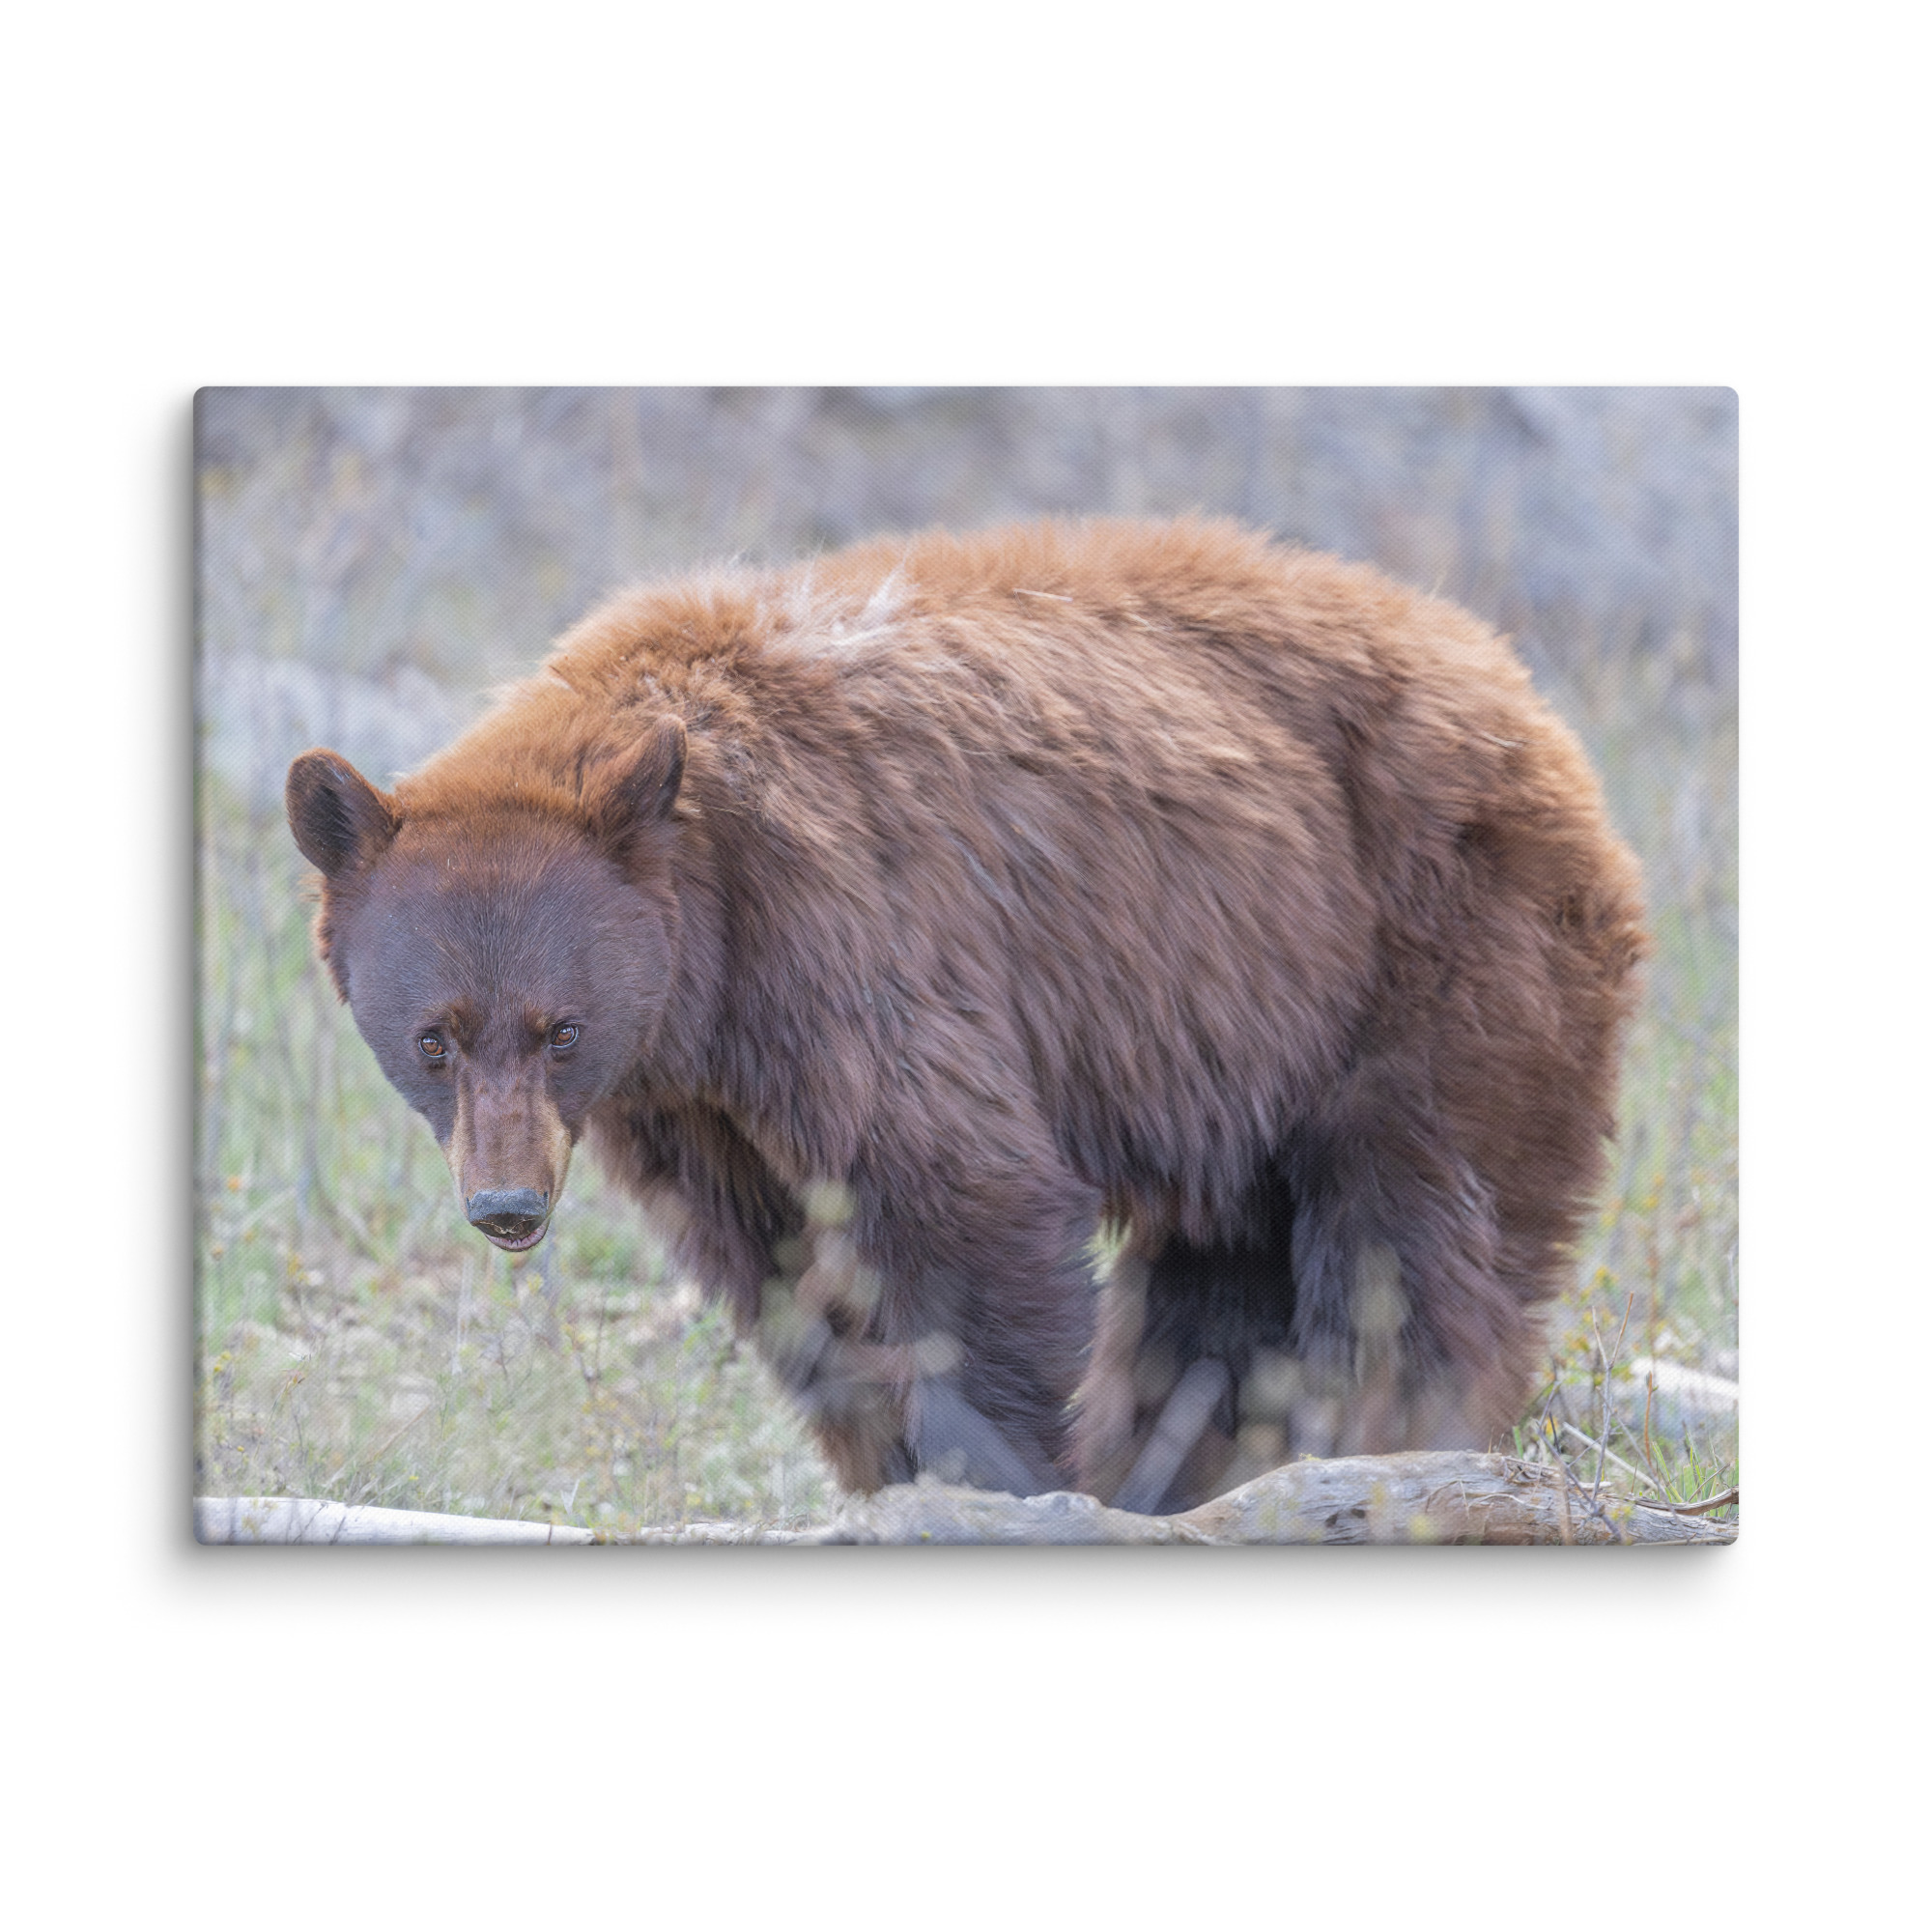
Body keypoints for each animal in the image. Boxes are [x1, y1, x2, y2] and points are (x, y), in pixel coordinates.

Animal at [285, 517, 1646, 1514]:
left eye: (558, 1027)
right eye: (434, 1037)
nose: (506, 1205)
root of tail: (1517, 684)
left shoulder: (849, 938)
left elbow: (958, 1200)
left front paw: (994, 1474)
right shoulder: (694, 1100)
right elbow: (784, 1266)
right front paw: (890, 1463)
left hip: (1431, 946)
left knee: (1411, 1232)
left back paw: (1378, 1441)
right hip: (1248, 1035)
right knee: (1220, 1273)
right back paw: (1192, 1462)